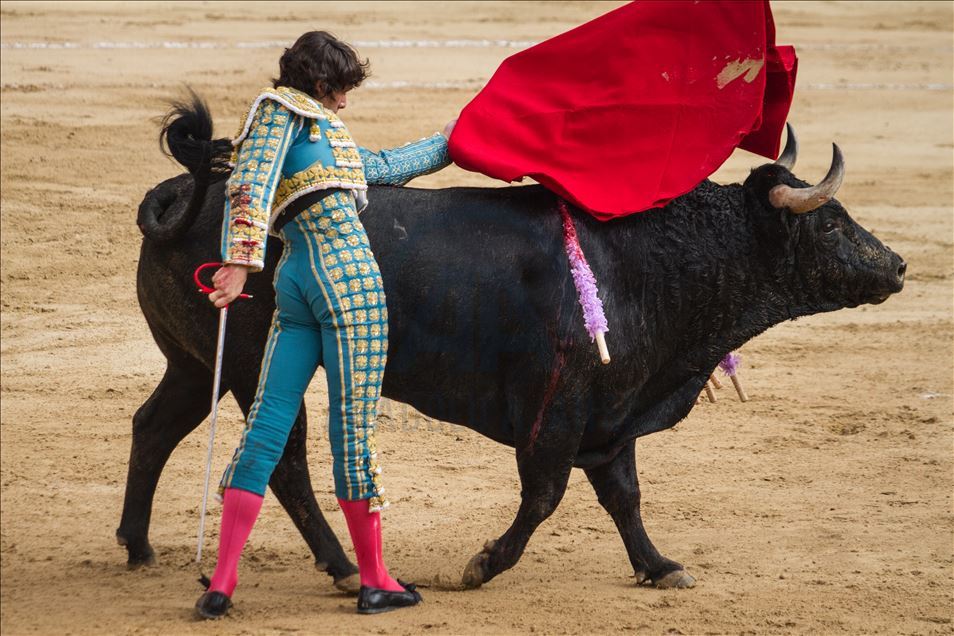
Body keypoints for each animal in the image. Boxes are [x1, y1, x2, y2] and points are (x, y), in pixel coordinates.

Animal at [117, 109, 900, 592]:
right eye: (830, 224)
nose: (897, 266)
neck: (649, 261)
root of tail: (185, 188)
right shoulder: (557, 411)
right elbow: (546, 495)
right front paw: (482, 565)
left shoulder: (616, 410)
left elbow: (625, 497)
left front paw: (659, 566)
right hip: (254, 363)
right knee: (283, 464)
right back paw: (343, 568)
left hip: (196, 363)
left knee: (153, 426)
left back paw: (137, 545)